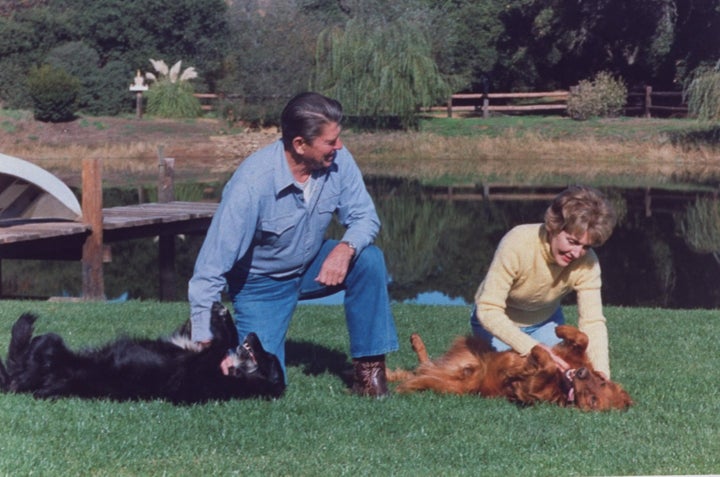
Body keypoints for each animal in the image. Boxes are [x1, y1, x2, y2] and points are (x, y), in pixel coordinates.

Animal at [0, 304, 286, 404]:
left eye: (267, 357)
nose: (254, 335)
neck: (229, 374)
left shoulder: (191, 374)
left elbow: (223, 341)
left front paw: (222, 320)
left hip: (50, 347)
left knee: (23, 360)